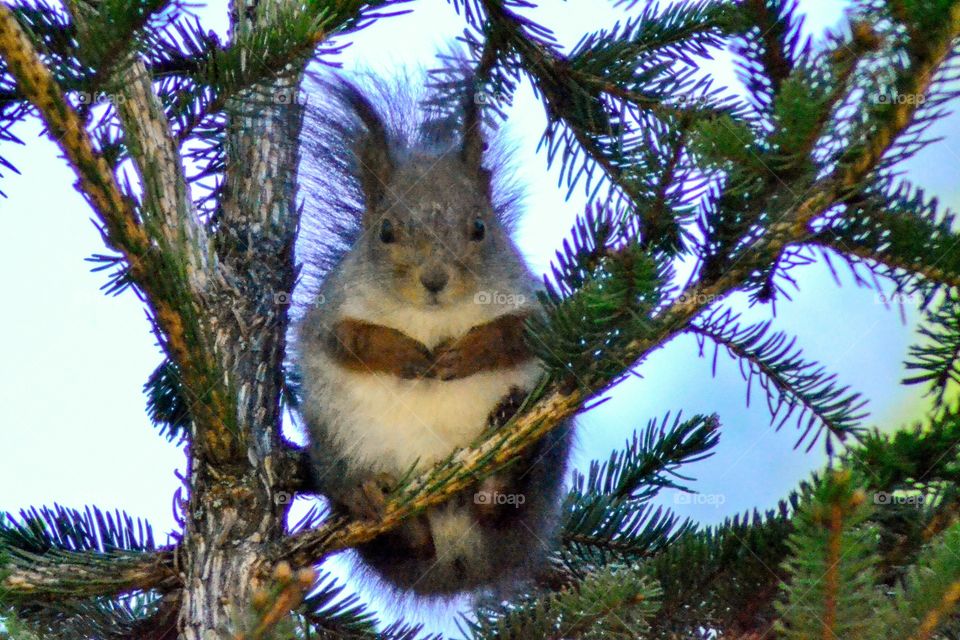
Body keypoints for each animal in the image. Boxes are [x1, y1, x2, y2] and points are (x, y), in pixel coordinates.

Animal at [296, 72, 572, 596]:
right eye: (385, 232)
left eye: (480, 227)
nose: (435, 280)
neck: (430, 318)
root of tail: (457, 562)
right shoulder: (328, 316)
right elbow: (350, 341)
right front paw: (405, 353)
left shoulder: (532, 307)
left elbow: (515, 335)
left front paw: (462, 354)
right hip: (333, 441)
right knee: (404, 537)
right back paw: (369, 496)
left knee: (505, 503)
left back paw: (503, 470)